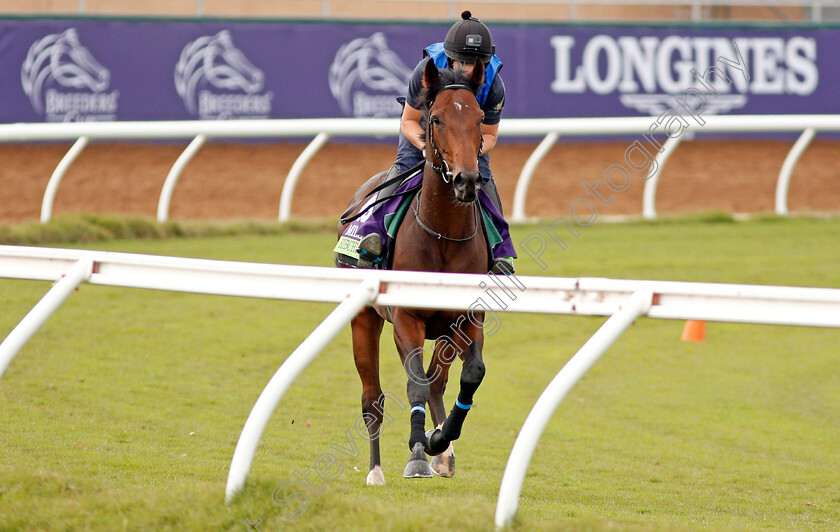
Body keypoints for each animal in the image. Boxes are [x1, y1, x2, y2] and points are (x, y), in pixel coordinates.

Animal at [338, 60, 488, 484]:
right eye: (435, 118)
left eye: (480, 117)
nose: (467, 180)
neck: (443, 235)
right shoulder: (406, 318)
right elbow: (415, 384)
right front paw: (418, 454)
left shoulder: (467, 319)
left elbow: (470, 374)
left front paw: (440, 441)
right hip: (364, 319)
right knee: (372, 398)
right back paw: (376, 470)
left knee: (439, 382)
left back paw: (444, 453)